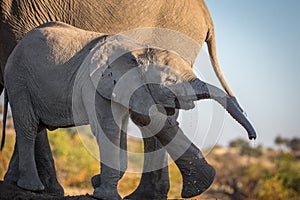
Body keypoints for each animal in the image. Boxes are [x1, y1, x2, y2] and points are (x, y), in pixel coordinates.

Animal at [0, 1, 244, 198]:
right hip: (20, 77)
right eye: (170, 80)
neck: (137, 51)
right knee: (29, 124)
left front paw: (99, 185)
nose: (251, 136)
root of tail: (207, 16)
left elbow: (122, 128)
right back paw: (32, 187)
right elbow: (109, 129)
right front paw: (103, 194)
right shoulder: (95, 84)